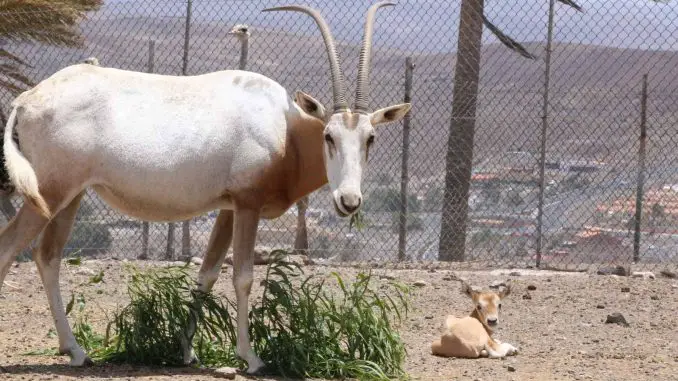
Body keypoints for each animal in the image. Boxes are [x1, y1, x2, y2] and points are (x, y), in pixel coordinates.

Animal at [0, 1, 410, 372]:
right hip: (50, 194)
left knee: (48, 256)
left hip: (70, 196)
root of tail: (26, 100)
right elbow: (242, 276)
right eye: (329, 136)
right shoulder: (248, 204)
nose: (349, 200)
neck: (285, 129)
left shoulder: (228, 208)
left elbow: (207, 274)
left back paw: (76, 351)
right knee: (10, 247)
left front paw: (187, 352)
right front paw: (251, 358)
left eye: (371, 138)